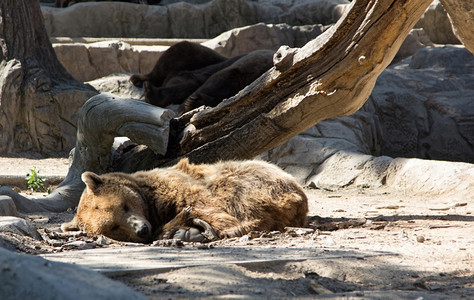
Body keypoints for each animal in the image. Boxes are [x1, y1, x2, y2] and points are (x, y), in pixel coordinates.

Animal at [62, 158, 308, 243]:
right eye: (113, 226)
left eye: (124, 206)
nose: (142, 229)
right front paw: (178, 230)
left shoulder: (173, 184)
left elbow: (202, 203)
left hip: (255, 179)